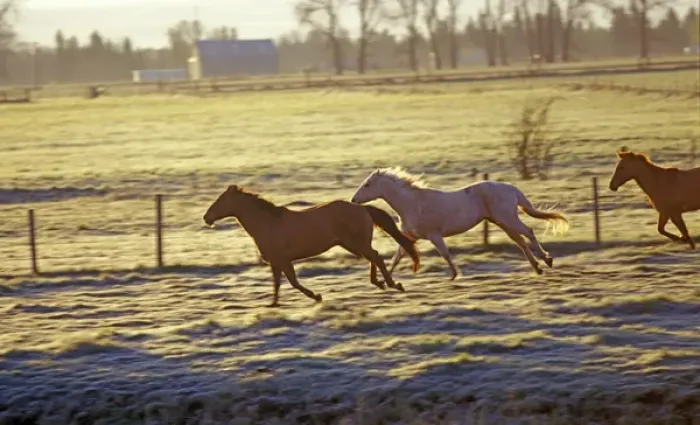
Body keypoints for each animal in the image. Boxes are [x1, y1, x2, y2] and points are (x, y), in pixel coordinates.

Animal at [203, 184, 420, 307]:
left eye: (220, 201)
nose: (206, 218)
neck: (267, 223)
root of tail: (361, 208)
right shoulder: (277, 262)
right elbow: (279, 283)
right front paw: (273, 304)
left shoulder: (281, 259)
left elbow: (292, 282)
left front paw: (316, 296)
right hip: (353, 244)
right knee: (373, 257)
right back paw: (380, 283)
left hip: (356, 243)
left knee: (375, 257)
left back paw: (393, 284)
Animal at [350, 168, 569, 280]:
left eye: (368, 184)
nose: (353, 200)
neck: (412, 203)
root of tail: (511, 188)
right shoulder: (410, 236)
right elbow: (396, 258)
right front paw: (387, 279)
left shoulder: (434, 235)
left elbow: (445, 253)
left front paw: (454, 275)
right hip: (503, 222)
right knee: (521, 242)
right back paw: (537, 267)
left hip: (509, 219)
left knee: (529, 232)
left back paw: (546, 260)